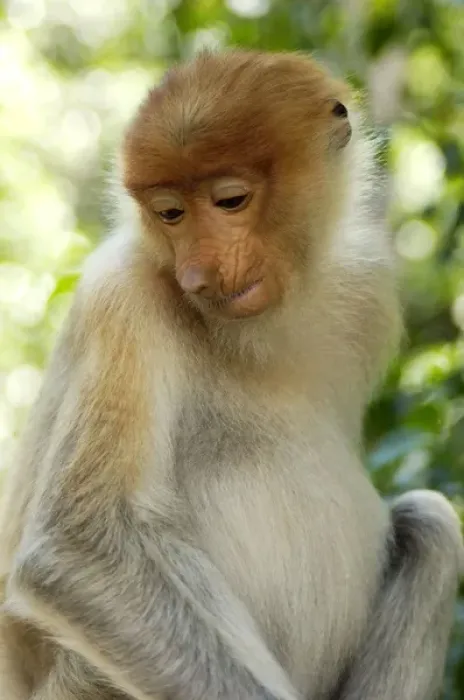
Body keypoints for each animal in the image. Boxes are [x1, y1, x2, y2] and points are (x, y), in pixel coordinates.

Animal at [0, 49, 462, 700]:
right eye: (170, 214)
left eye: (230, 201)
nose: (198, 274)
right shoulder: (124, 298)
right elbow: (77, 548)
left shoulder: (366, 286)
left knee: (430, 526)